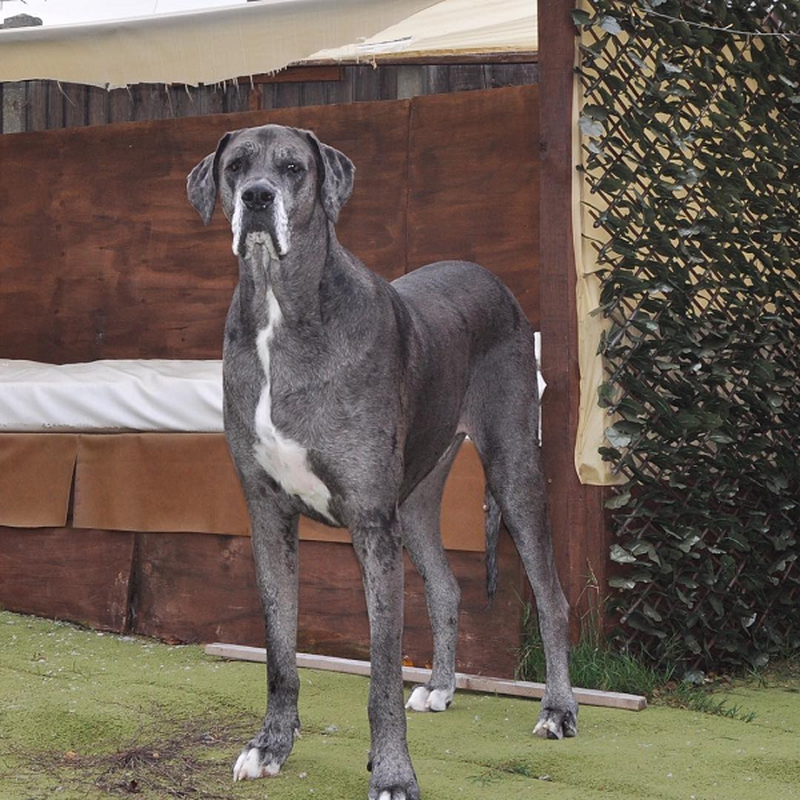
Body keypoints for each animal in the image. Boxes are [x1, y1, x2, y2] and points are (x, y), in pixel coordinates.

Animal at [186, 125, 576, 800]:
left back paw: (557, 710)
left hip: (512, 472)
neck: (280, 314)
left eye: (292, 168)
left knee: (552, 597)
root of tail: (494, 281)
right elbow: (279, 654)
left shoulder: (371, 525)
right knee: (446, 586)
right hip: (415, 501)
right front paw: (270, 746)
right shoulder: (269, 517)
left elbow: (382, 678)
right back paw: (442, 687)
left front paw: (393, 773)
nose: (258, 198)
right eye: (235, 166)